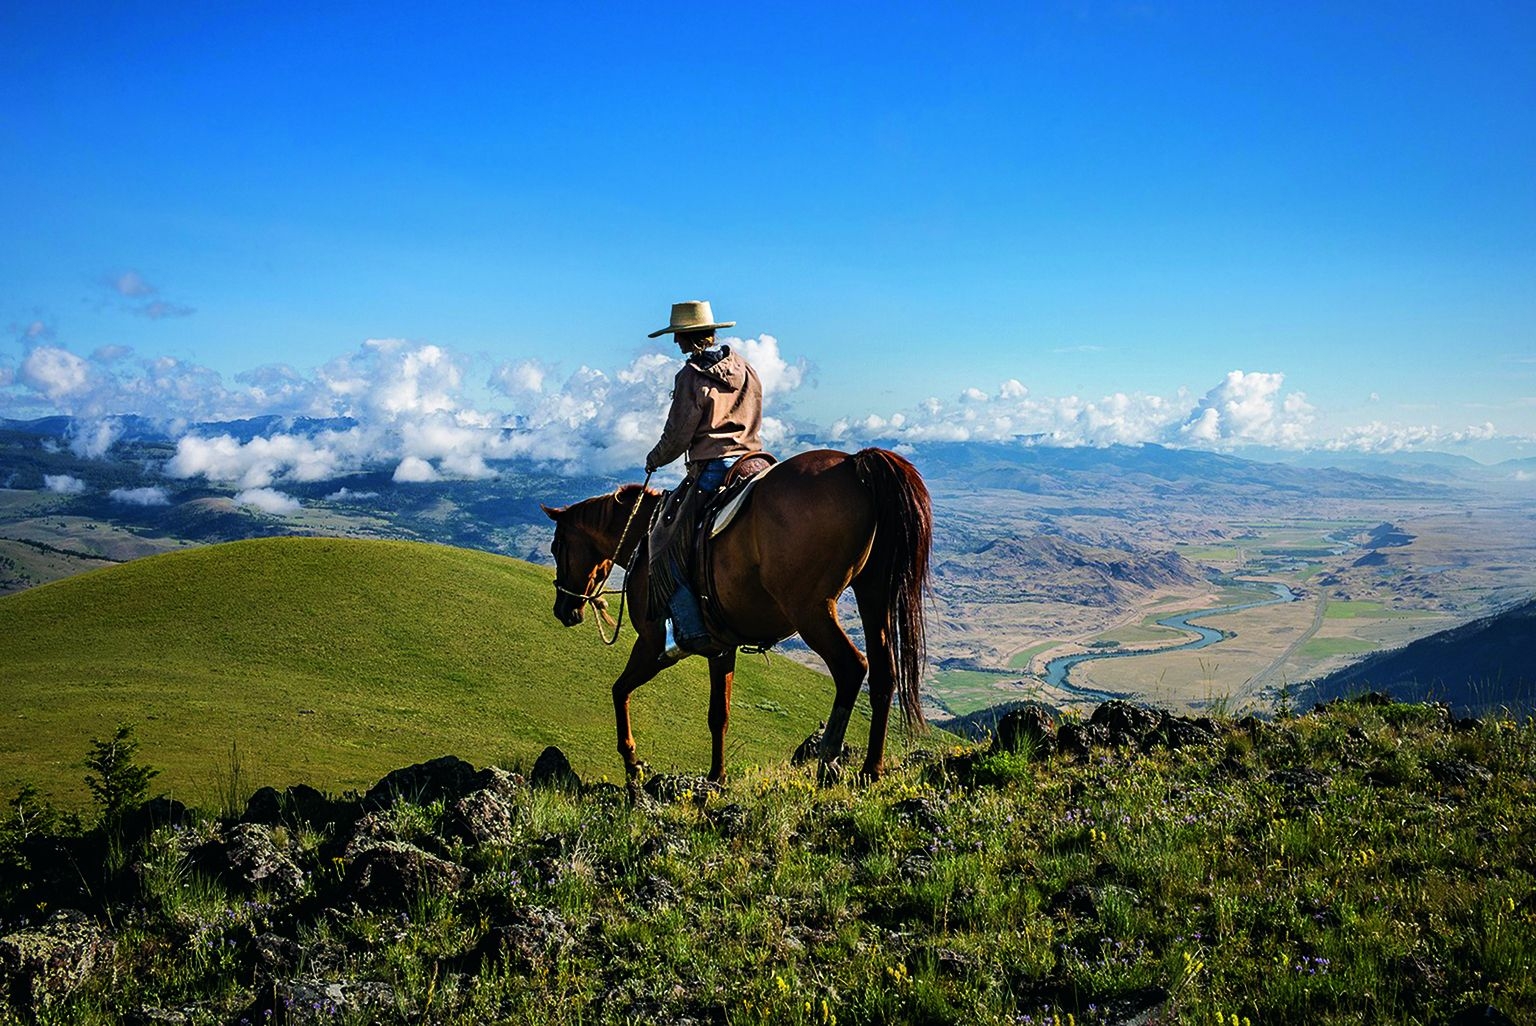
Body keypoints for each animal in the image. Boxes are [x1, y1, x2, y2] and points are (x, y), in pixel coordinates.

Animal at [541, 447, 932, 785]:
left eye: (557, 546)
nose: (564, 609)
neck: (643, 539)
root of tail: (853, 463)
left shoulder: (652, 645)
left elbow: (619, 690)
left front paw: (632, 762)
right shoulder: (720, 647)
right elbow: (719, 715)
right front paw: (717, 776)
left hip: (812, 609)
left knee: (852, 667)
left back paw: (829, 759)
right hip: (873, 595)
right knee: (883, 673)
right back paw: (871, 769)